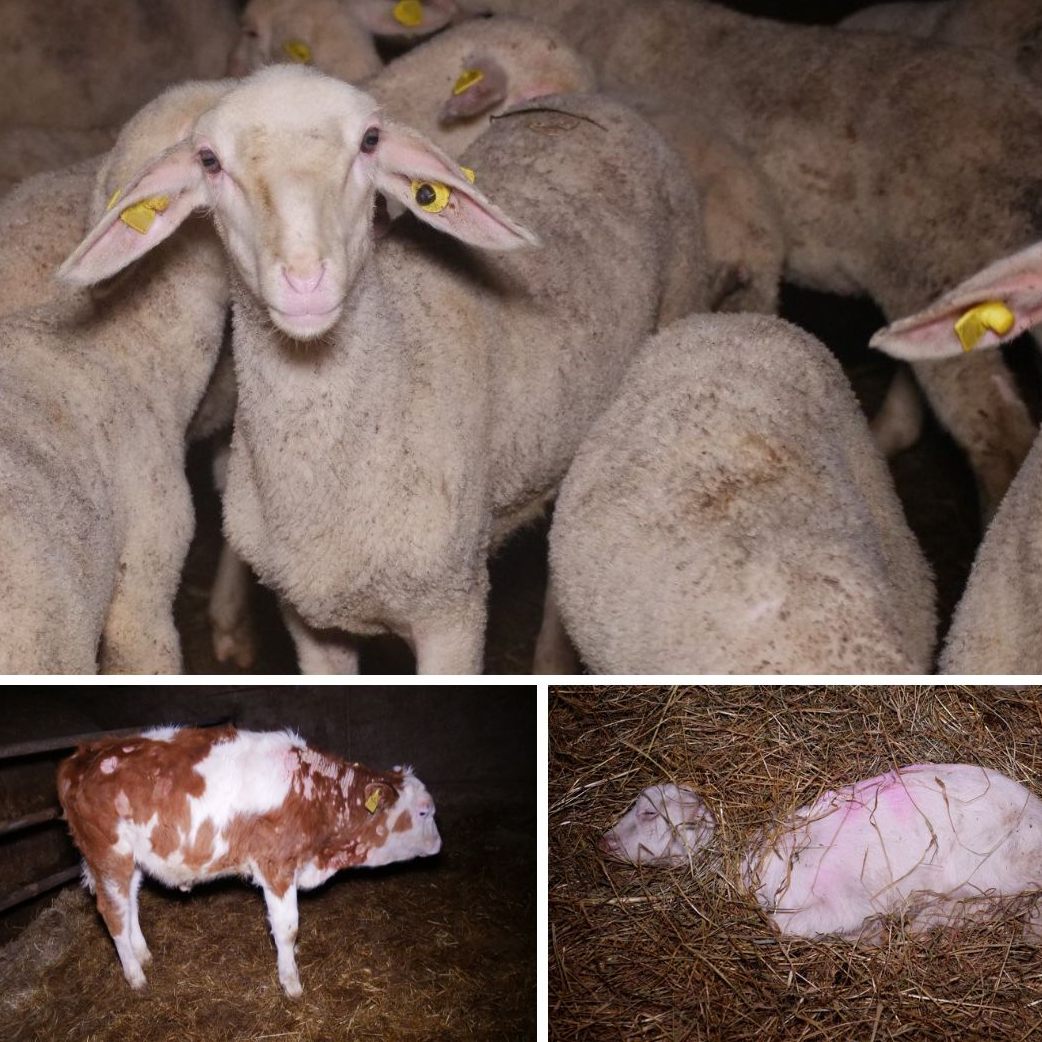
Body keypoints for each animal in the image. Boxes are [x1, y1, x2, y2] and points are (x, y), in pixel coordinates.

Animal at [59, 66, 708, 674]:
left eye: (370, 141)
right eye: (209, 160)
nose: (305, 281)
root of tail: (594, 104)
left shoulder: (453, 611)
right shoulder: (309, 619)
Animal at [603, 766, 1042, 942]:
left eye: (648, 814)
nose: (603, 841)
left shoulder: (844, 902)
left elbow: (783, 926)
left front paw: (871, 935)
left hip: (993, 870)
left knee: (997, 906)